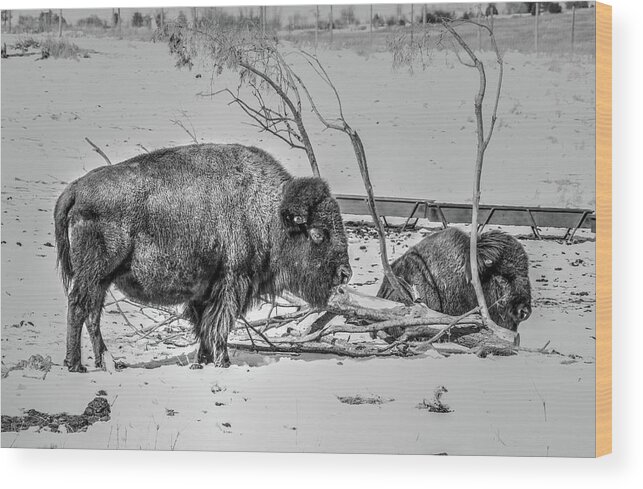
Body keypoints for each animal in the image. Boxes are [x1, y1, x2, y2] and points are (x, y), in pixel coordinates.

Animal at [54, 143, 352, 372]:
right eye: (318, 233)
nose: (345, 273)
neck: (269, 213)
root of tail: (76, 188)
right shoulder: (231, 282)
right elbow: (218, 325)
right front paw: (223, 361)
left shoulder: (205, 290)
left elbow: (204, 325)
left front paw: (204, 360)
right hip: (95, 273)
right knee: (79, 307)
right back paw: (77, 365)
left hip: (101, 279)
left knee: (91, 313)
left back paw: (105, 362)